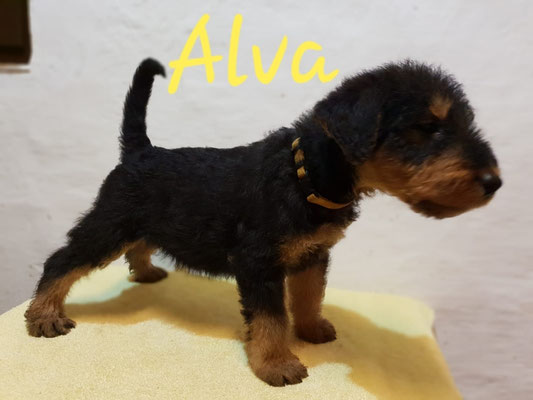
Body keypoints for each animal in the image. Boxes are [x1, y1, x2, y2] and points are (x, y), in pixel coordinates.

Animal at [25, 58, 501, 386]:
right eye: (426, 126)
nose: (494, 182)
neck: (304, 175)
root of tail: (140, 151)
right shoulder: (258, 262)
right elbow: (271, 319)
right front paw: (278, 365)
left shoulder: (313, 253)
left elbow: (308, 297)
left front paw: (311, 330)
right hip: (109, 224)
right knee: (62, 260)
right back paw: (45, 315)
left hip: (138, 223)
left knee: (138, 245)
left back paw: (145, 272)